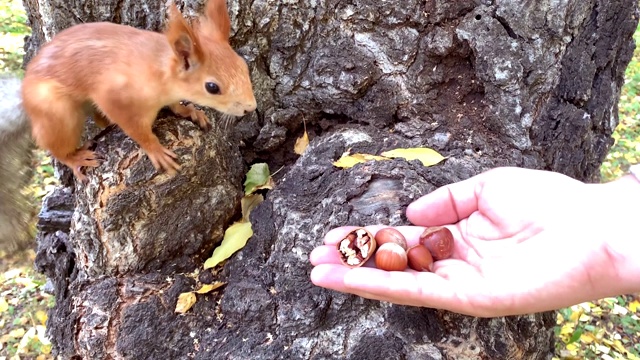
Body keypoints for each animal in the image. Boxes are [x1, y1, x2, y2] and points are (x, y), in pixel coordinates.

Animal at [22, 0, 258, 180]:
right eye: (212, 87)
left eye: (243, 66)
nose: (250, 108)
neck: (159, 71)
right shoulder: (113, 95)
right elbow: (136, 129)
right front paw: (155, 149)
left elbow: (175, 106)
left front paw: (191, 111)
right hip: (57, 113)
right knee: (55, 145)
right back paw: (75, 158)